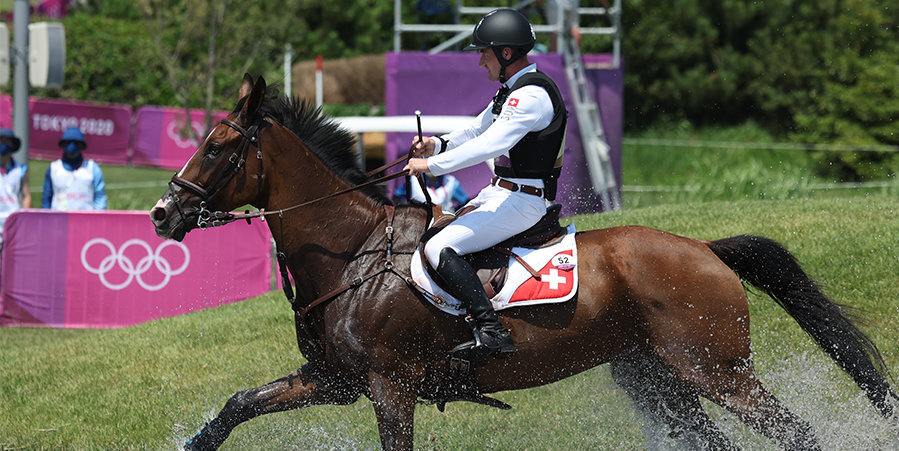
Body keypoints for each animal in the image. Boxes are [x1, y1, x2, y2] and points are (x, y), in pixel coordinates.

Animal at [148, 75, 892, 451]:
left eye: (217, 148)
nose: (161, 214)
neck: (352, 255)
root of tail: (703, 249)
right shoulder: (332, 379)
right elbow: (238, 405)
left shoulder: (389, 387)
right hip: (657, 380)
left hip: (715, 371)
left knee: (795, 433)